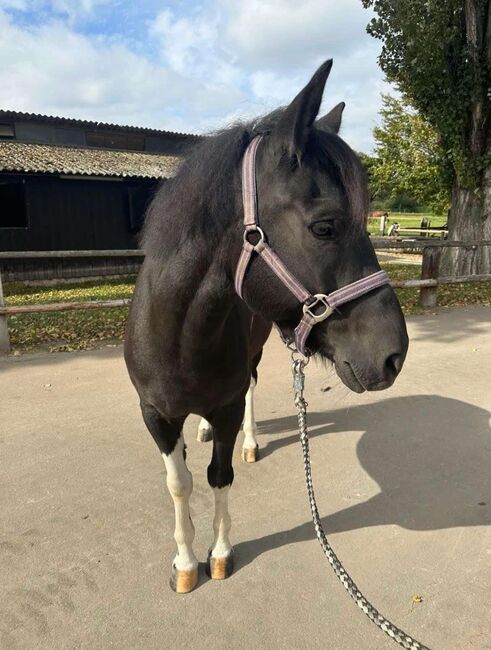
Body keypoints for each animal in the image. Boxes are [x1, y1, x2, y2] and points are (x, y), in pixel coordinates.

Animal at [125, 60, 410, 592]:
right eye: (325, 226)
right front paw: (184, 562)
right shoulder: (155, 414)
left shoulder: (228, 405)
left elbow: (219, 476)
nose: (393, 356)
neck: (180, 339)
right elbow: (179, 483)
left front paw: (218, 554)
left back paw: (251, 441)